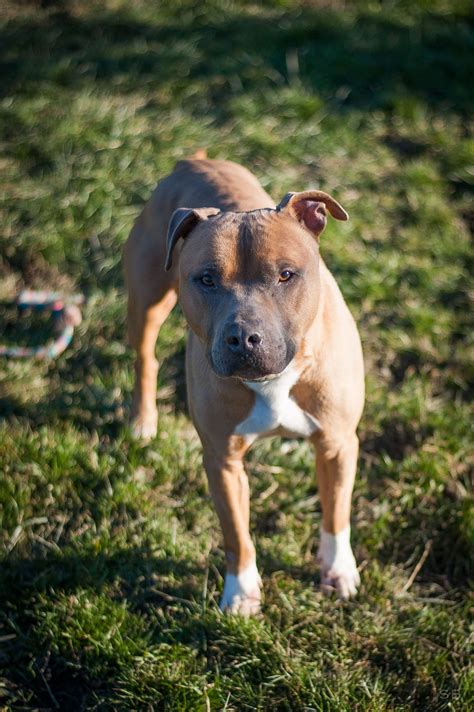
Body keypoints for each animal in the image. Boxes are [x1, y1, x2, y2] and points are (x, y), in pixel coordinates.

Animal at [124, 153, 364, 616]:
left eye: (286, 275)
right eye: (206, 279)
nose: (243, 336)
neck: (274, 380)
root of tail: (195, 160)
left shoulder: (337, 444)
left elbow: (336, 514)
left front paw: (338, 571)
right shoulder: (222, 461)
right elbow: (236, 534)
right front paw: (240, 594)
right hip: (146, 299)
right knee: (145, 358)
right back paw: (143, 422)